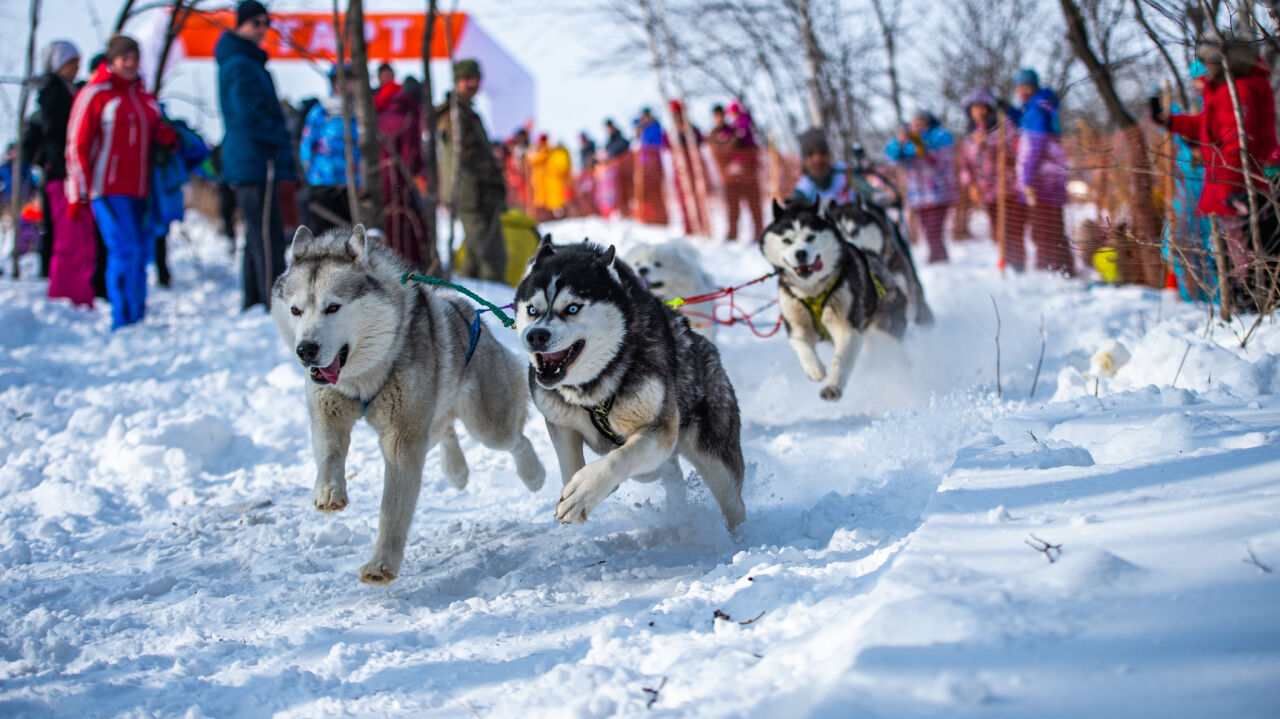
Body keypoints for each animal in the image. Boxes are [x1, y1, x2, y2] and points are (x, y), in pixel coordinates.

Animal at [272, 223, 542, 583]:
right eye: (296, 310)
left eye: (333, 307)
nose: (306, 350)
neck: (365, 374)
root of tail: (467, 308)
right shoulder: (329, 412)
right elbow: (329, 454)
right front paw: (329, 491)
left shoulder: (401, 437)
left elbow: (393, 506)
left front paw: (381, 564)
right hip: (430, 420)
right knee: (445, 429)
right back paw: (457, 471)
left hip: (486, 423)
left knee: (515, 440)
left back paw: (533, 474)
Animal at [514, 239, 747, 527]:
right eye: (532, 310)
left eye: (572, 308)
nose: (535, 335)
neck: (593, 386)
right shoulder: (560, 422)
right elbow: (569, 465)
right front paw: (577, 487)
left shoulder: (658, 429)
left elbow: (621, 457)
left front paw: (584, 491)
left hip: (716, 457)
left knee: (732, 502)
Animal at [757, 198, 911, 399]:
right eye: (787, 240)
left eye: (811, 237)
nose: (800, 254)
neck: (811, 290)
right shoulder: (796, 322)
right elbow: (801, 345)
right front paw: (814, 369)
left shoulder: (847, 326)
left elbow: (841, 360)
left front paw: (833, 387)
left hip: (886, 330)